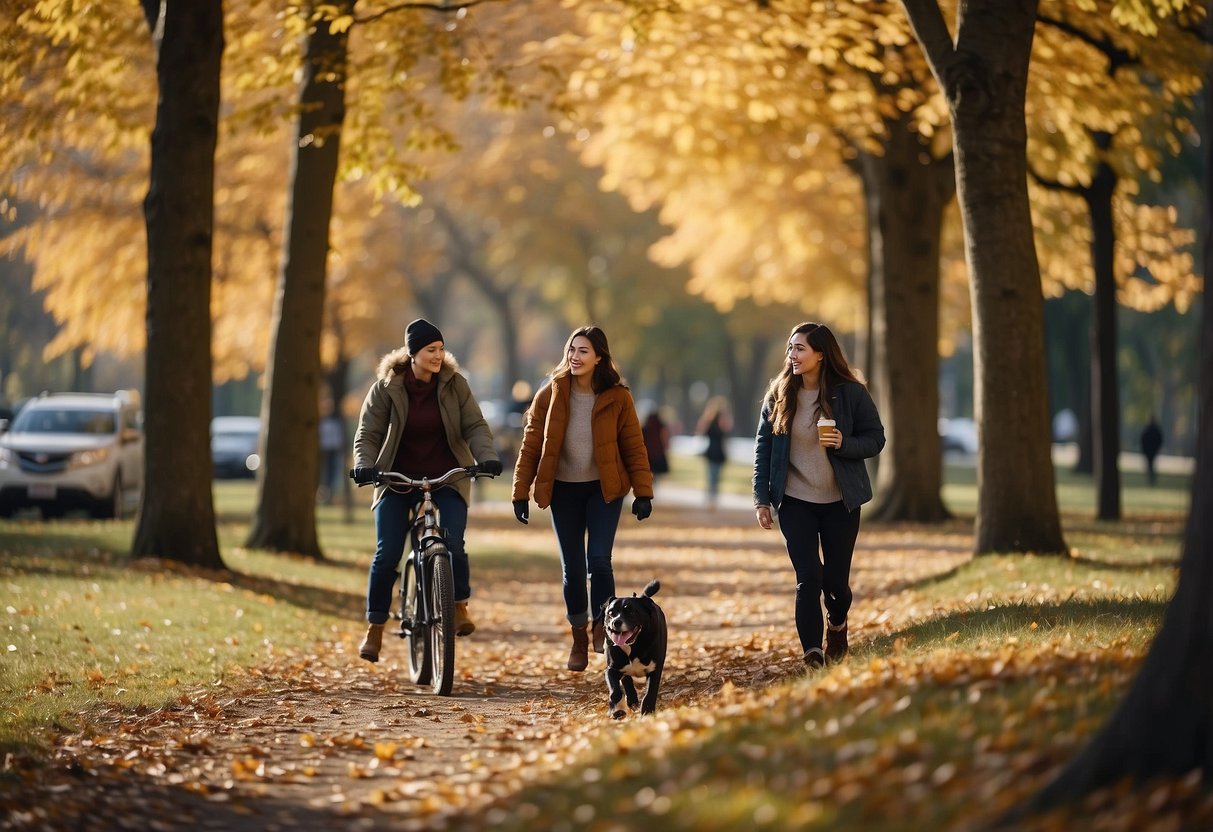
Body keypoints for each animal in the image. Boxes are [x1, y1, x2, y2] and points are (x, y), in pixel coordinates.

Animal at [601, 584, 669, 717]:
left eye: (631, 611)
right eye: (611, 613)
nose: (616, 622)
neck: (634, 646)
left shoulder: (655, 670)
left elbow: (650, 692)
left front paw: (647, 712)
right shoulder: (612, 669)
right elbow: (615, 690)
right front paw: (616, 710)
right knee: (626, 680)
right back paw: (631, 701)